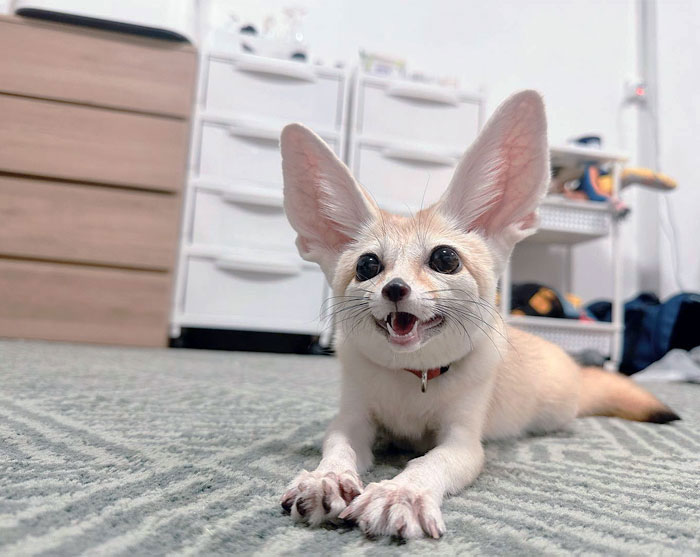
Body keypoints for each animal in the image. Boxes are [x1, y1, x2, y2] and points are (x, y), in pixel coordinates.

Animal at [278, 90, 680, 539]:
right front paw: (325, 478)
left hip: (556, 414)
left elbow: (430, 461)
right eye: (368, 266)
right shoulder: (352, 419)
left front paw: (402, 492)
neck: (414, 381)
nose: (394, 289)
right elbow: (338, 447)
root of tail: (574, 367)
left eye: (445, 259)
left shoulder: (464, 439)